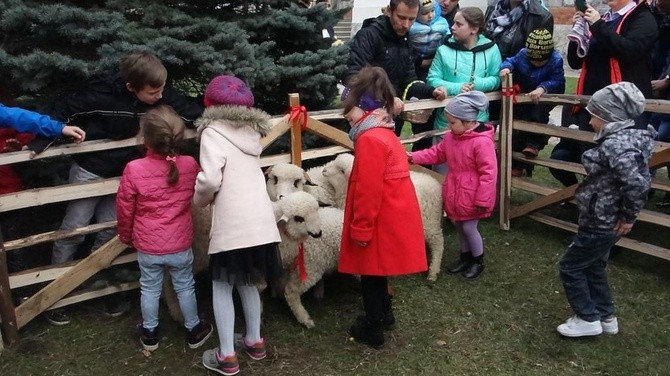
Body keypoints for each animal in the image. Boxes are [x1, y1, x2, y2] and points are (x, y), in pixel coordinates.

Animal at [324, 153, 448, 282]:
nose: (324, 170)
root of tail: (435, 183)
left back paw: (433, 272)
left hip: (430, 221)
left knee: (438, 243)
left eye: (342, 171)